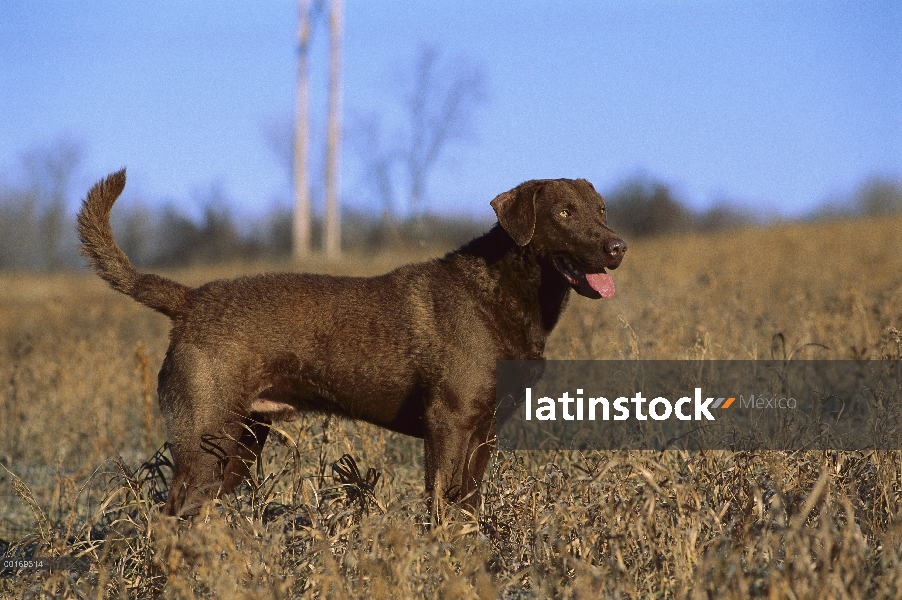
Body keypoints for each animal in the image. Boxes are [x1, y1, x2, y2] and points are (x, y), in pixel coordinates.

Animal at [76, 171, 628, 516]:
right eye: (562, 213)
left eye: (601, 210)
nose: (616, 246)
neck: (504, 296)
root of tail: (191, 300)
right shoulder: (448, 423)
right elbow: (441, 507)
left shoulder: (486, 431)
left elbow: (469, 508)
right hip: (205, 436)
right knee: (169, 515)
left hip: (241, 442)